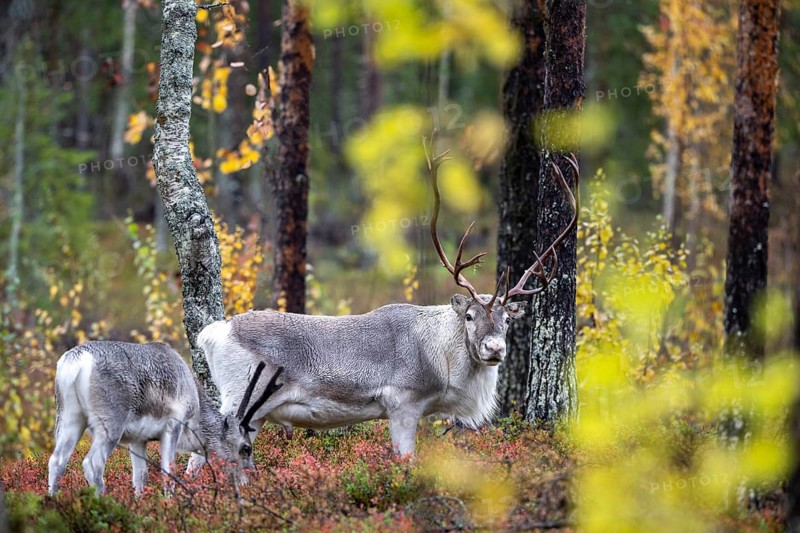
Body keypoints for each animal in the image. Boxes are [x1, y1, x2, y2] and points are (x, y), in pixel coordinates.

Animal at [47, 340, 284, 496]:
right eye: (246, 448)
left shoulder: (138, 439)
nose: (252, 477)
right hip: (110, 423)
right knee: (93, 462)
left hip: (69, 417)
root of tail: (75, 362)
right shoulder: (173, 424)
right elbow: (168, 472)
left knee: (56, 460)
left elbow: (140, 477)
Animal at [188, 136, 578, 464]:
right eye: (469, 316)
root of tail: (213, 331)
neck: (442, 360)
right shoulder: (403, 403)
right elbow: (407, 462)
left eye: (508, 319)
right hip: (241, 400)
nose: (494, 348)